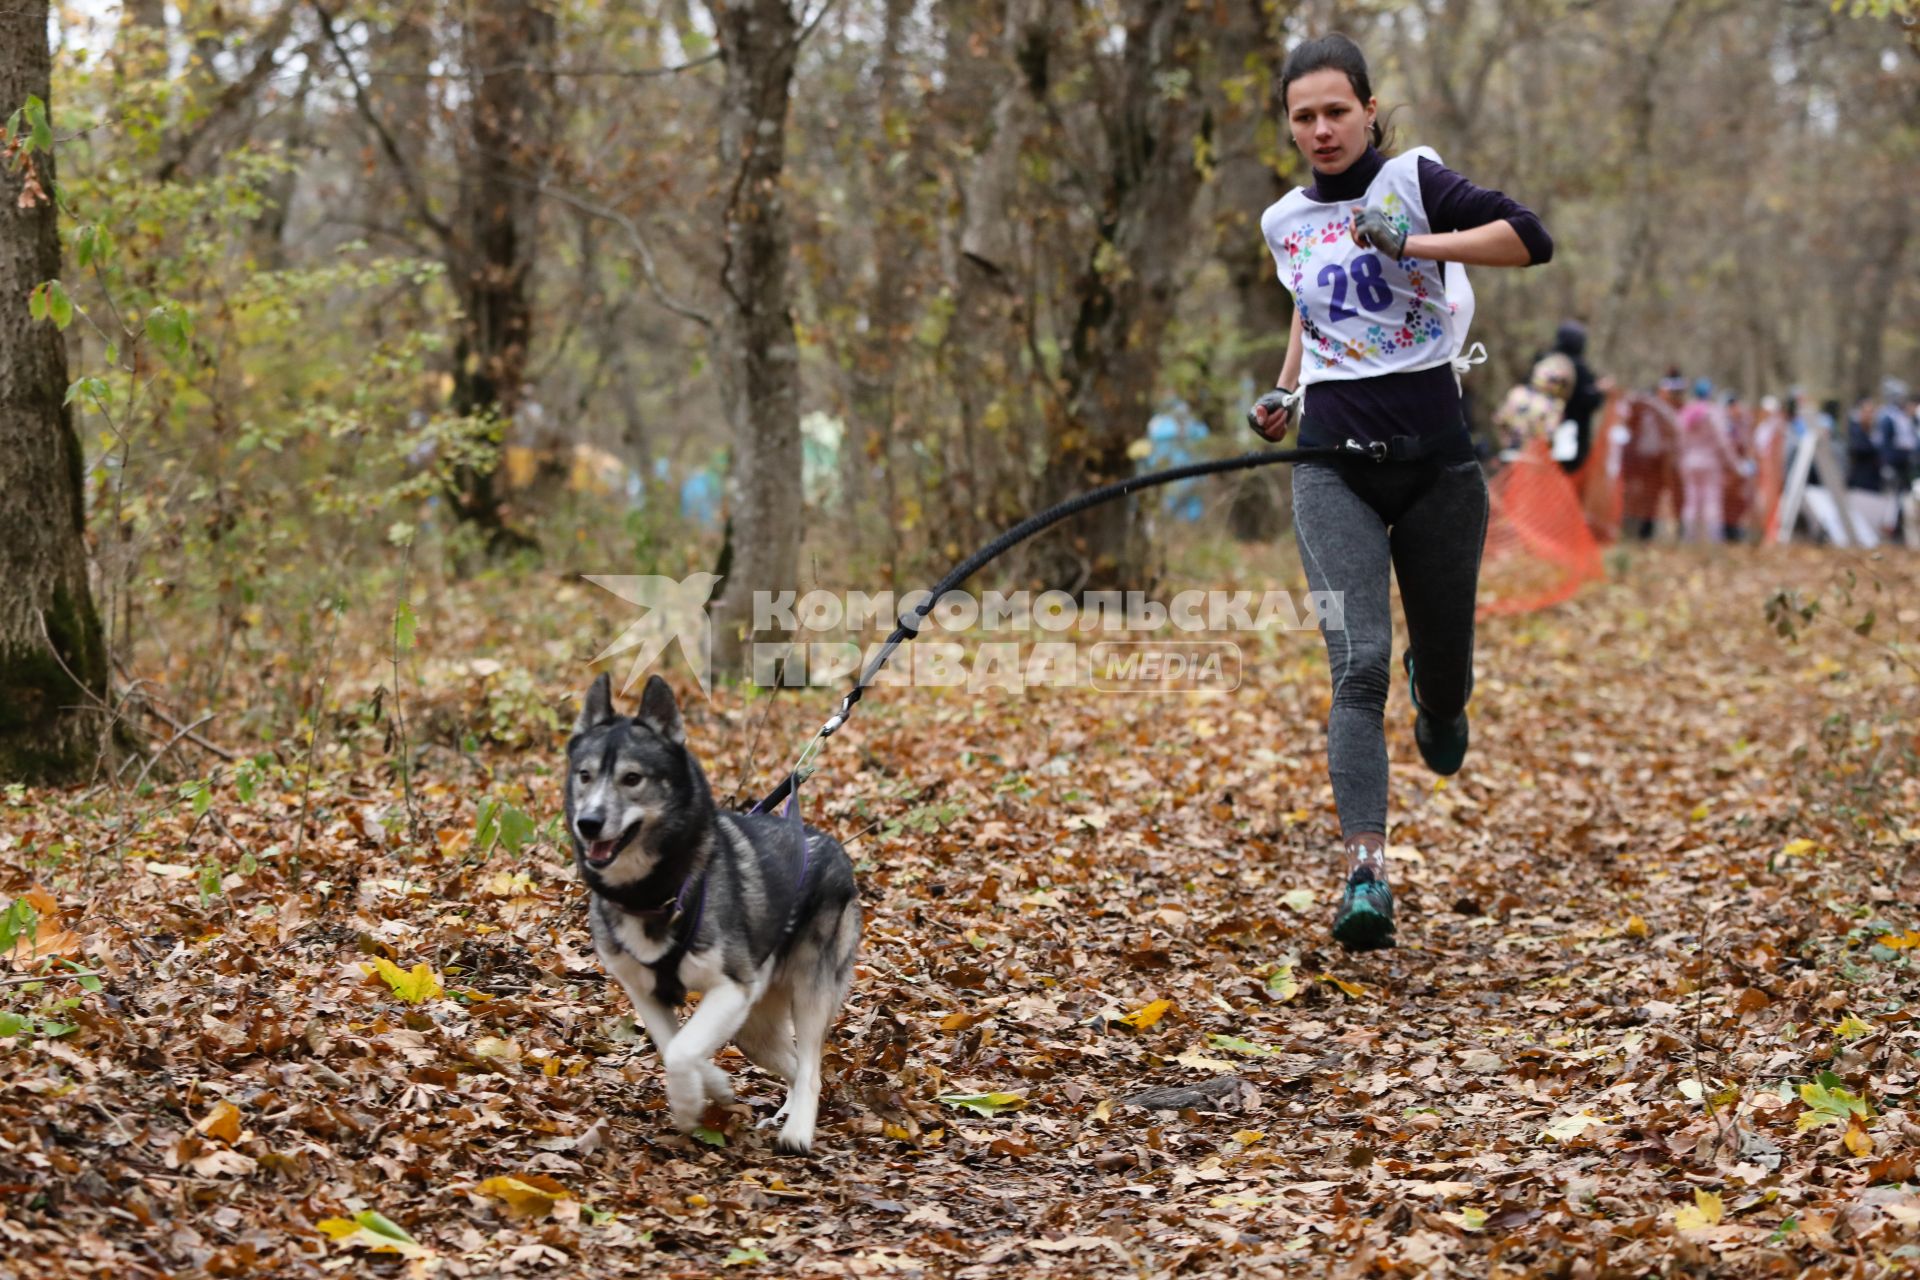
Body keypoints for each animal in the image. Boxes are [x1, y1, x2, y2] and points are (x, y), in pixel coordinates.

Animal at [564, 675, 860, 1159]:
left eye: (632, 778)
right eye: (584, 776)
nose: (588, 822)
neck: (657, 891)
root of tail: (829, 843)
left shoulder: (731, 988)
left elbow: (682, 1051)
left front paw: (688, 1104)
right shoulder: (645, 992)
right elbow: (673, 1047)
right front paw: (715, 1086)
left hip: (808, 990)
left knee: (811, 1066)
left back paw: (797, 1129)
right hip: (752, 1025)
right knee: (793, 1063)